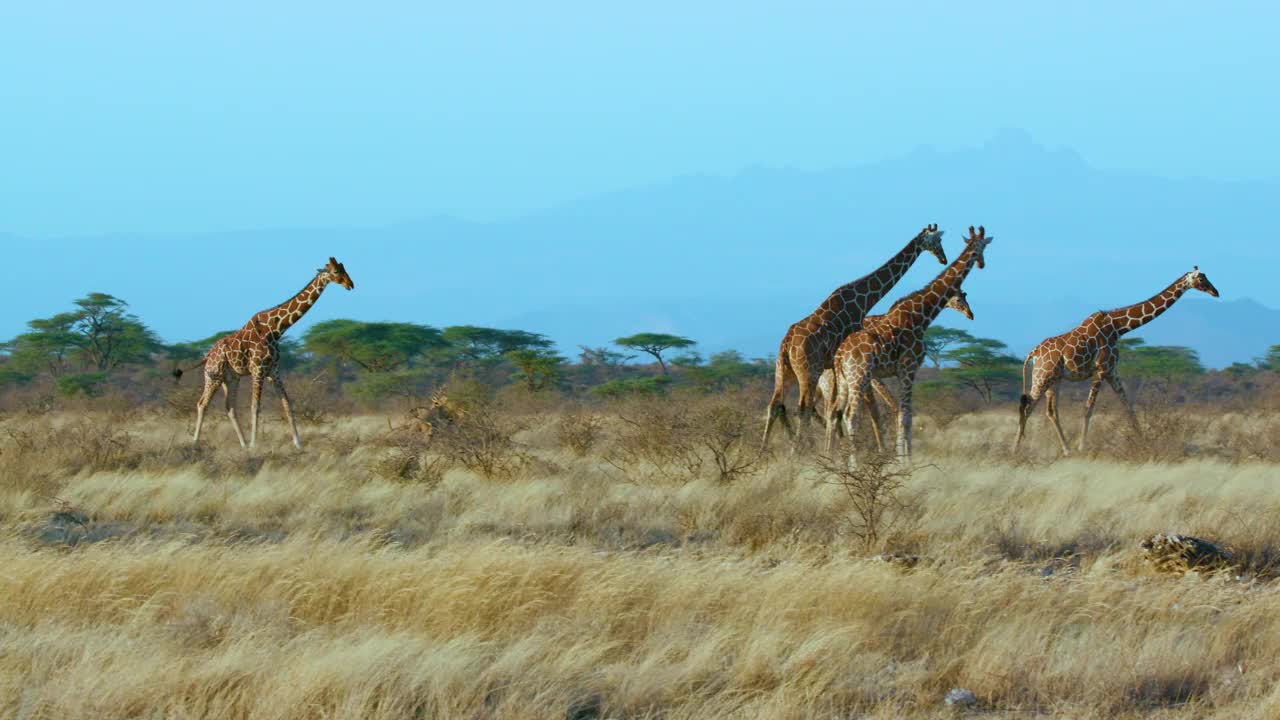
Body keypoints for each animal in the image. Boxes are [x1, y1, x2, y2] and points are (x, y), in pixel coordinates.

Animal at [176, 257, 355, 445]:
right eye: (336, 272)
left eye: (345, 269)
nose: (350, 284)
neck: (276, 330)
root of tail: (208, 355)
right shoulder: (258, 370)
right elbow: (255, 406)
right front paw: (255, 444)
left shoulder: (274, 371)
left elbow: (287, 404)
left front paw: (298, 444)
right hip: (213, 376)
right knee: (202, 404)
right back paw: (195, 443)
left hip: (231, 378)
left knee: (230, 407)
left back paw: (243, 444)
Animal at [757, 224, 952, 448]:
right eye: (937, 241)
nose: (943, 258)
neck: (864, 300)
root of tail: (787, 344)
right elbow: (868, 410)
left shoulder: (836, 366)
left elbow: (837, 410)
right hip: (808, 371)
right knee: (802, 408)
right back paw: (796, 450)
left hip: (783, 370)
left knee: (775, 405)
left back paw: (765, 451)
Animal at [824, 226, 993, 456]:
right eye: (981, 247)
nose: (982, 263)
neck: (921, 315)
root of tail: (839, 356)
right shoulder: (909, 367)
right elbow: (905, 416)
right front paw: (905, 459)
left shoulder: (900, 371)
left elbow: (903, 414)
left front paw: (902, 456)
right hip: (859, 377)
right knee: (851, 415)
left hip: (844, 380)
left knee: (835, 413)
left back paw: (830, 457)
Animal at [1013, 263, 1213, 453]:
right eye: (1201, 279)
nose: (1215, 291)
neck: (1118, 327)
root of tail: (1033, 353)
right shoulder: (1101, 369)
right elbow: (1088, 409)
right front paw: (1082, 447)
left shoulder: (1112, 371)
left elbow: (1128, 405)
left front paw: (1144, 441)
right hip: (1042, 376)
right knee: (1027, 407)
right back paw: (1016, 448)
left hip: (1054, 379)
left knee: (1050, 411)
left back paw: (1066, 449)